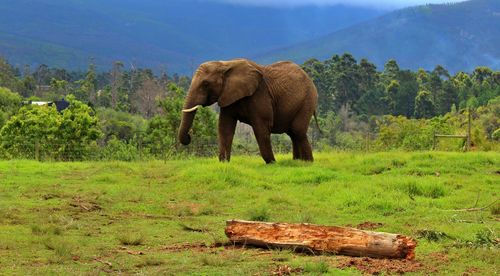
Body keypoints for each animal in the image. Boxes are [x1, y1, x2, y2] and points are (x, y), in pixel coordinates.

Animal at [180, 57, 318, 163]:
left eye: (206, 84)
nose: (189, 136)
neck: (225, 64)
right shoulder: (228, 95)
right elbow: (225, 127)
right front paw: (224, 163)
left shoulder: (260, 94)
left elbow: (261, 127)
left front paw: (272, 163)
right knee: (293, 133)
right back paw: (298, 161)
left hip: (308, 100)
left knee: (297, 131)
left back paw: (308, 163)